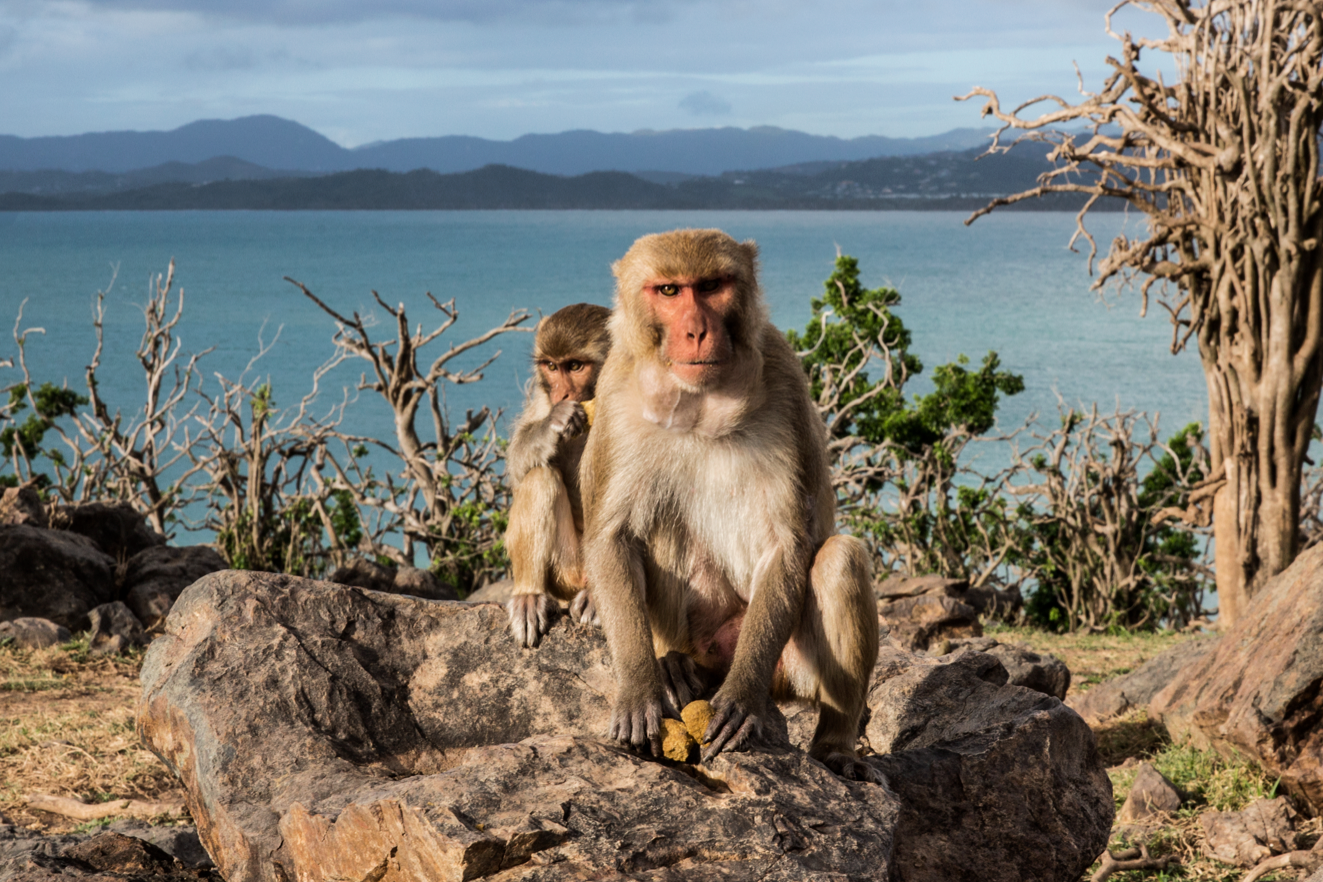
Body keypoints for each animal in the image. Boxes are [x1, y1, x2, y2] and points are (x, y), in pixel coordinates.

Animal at [502, 304, 611, 647]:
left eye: (574, 366)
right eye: (551, 366)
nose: (562, 395)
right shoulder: (542, 394)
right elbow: (518, 464)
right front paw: (554, 423)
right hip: (566, 572)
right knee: (540, 477)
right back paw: (529, 595)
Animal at [584, 230, 883, 788]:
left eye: (711, 286)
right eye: (669, 290)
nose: (697, 330)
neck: (701, 405)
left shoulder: (784, 375)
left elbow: (787, 541)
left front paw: (742, 698)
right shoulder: (613, 390)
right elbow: (613, 537)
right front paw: (638, 687)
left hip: (789, 666)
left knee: (840, 560)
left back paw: (834, 744)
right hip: (699, 640)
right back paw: (677, 666)